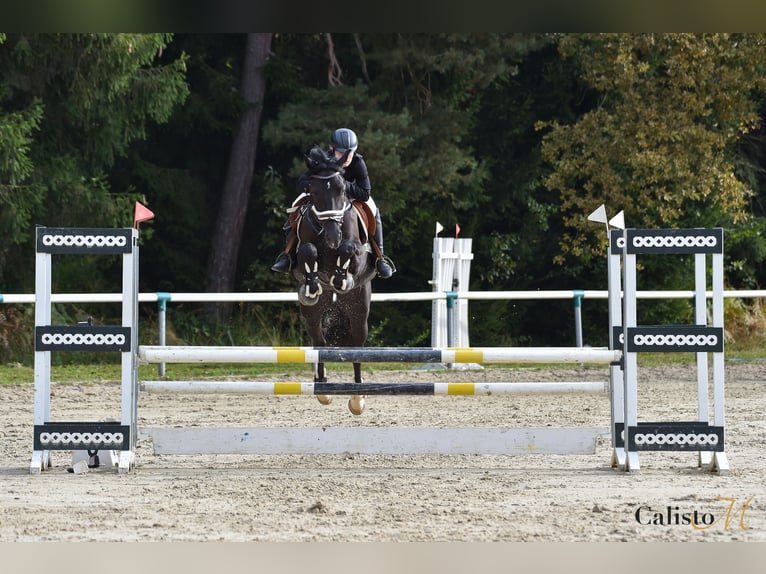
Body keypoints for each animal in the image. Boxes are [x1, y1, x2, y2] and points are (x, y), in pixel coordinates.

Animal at [292, 144, 378, 414]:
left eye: (341, 189)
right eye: (314, 191)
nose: (332, 237)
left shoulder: (360, 258)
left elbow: (349, 249)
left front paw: (341, 279)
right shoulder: (301, 252)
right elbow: (307, 251)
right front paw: (311, 285)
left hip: (359, 315)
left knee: (357, 349)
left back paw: (357, 398)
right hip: (312, 316)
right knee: (319, 344)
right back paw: (322, 388)